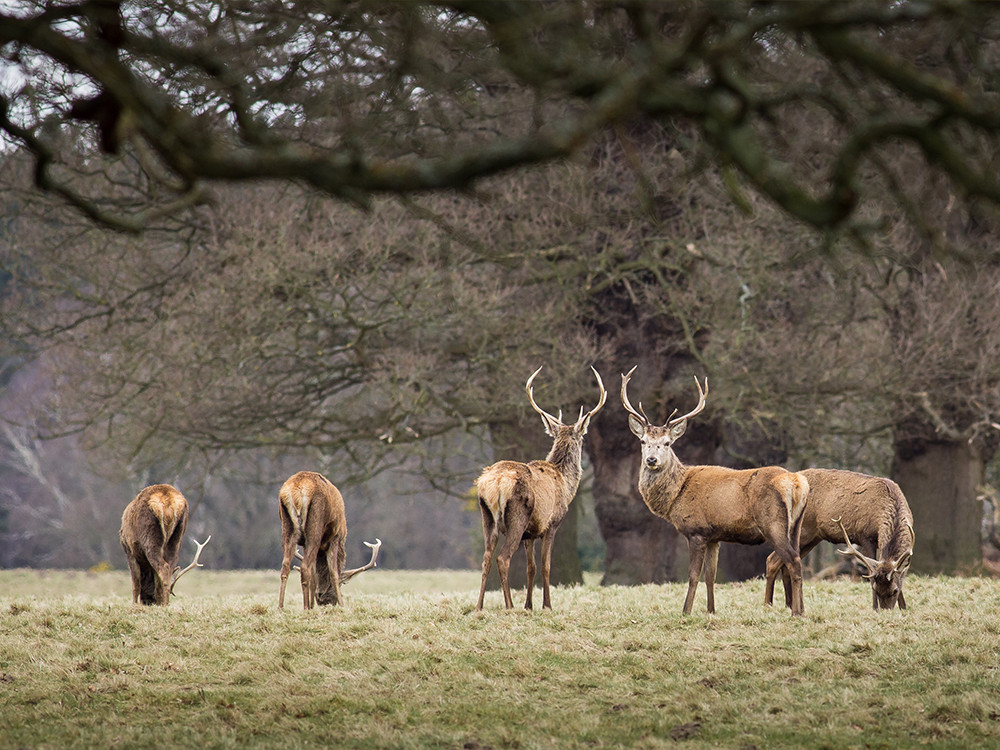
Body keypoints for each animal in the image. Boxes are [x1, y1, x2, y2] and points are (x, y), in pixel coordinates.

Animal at [278, 472, 382, 612]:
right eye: (343, 583)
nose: (323, 599)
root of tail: (297, 491)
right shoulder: (336, 537)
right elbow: (334, 572)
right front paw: (342, 606)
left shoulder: (305, 545)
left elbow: (314, 574)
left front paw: (312, 605)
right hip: (315, 524)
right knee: (305, 567)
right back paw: (305, 608)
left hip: (287, 527)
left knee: (285, 566)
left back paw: (281, 607)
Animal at [474, 368, 604, 612]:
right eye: (583, 437)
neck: (566, 484)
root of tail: (495, 484)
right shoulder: (551, 524)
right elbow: (545, 566)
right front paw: (546, 606)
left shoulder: (530, 533)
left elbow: (531, 567)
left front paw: (529, 605)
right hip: (517, 515)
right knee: (502, 558)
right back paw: (509, 606)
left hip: (487, 516)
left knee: (486, 558)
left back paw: (479, 607)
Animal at [620, 366, 808, 616]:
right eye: (642, 441)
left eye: (667, 443)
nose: (651, 460)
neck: (677, 494)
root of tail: (797, 482)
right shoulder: (714, 537)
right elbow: (711, 576)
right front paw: (711, 611)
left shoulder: (696, 530)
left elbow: (693, 576)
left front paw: (686, 612)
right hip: (796, 525)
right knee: (796, 559)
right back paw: (802, 609)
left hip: (773, 523)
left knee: (793, 560)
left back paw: (796, 612)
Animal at [764, 470, 916, 612]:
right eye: (876, 589)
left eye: (895, 590)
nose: (886, 611)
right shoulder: (865, 536)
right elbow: (870, 573)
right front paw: (874, 608)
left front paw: (903, 608)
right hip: (802, 531)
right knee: (772, 560)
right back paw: (768, 604)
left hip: (812, 537)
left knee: (785, 564)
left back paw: (789, 605)